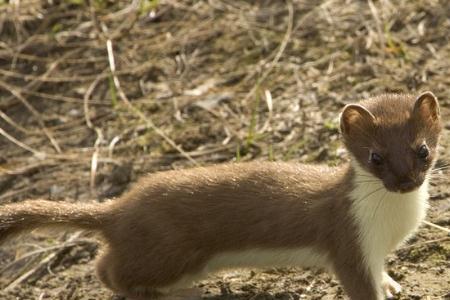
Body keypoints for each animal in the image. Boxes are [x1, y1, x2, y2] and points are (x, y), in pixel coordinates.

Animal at [0, 92, 442, 300]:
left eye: (422, 149)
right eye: (375, 157)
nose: (405, 181)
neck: (394, 223)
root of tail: (120, 207)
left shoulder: (376, 250)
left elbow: (382, 273)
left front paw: (393, 284)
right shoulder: (347, 243)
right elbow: (361, 283)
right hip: (169, 253)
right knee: (107, 271)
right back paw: (181, 293)